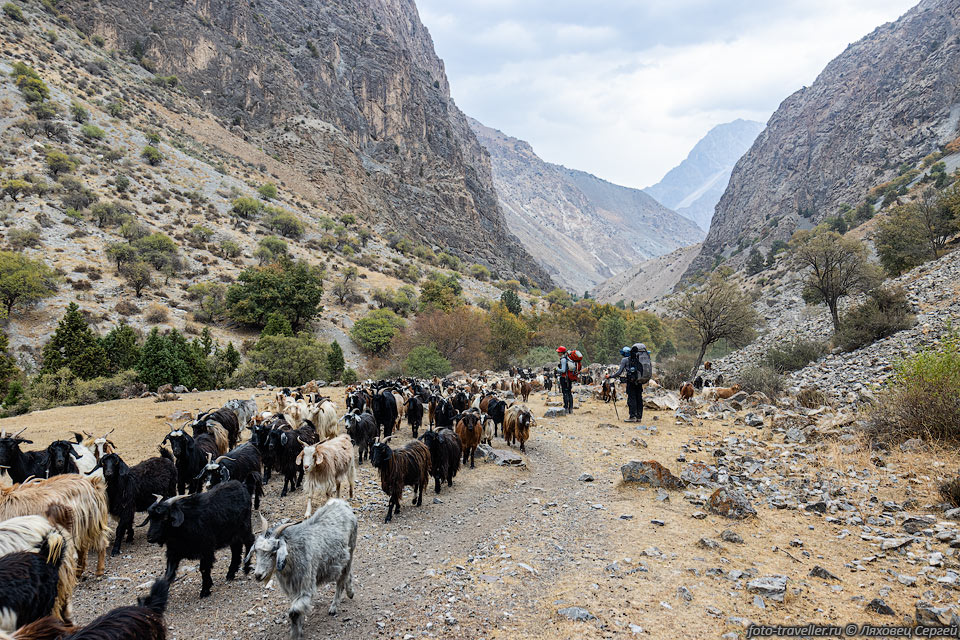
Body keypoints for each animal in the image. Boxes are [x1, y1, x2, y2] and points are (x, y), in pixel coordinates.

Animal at [249, 500, 358, 640]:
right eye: (256, 552)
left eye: (273, 553)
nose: (258, 575)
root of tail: (342, 503)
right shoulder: (293, 590)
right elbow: (297, 612)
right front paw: (299, 629)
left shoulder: (306, 587)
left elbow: (294, 612)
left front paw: (296, 634)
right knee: (347, 574)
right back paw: (350, 592)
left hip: (351, 548)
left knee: (342, 579)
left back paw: (334, 607)